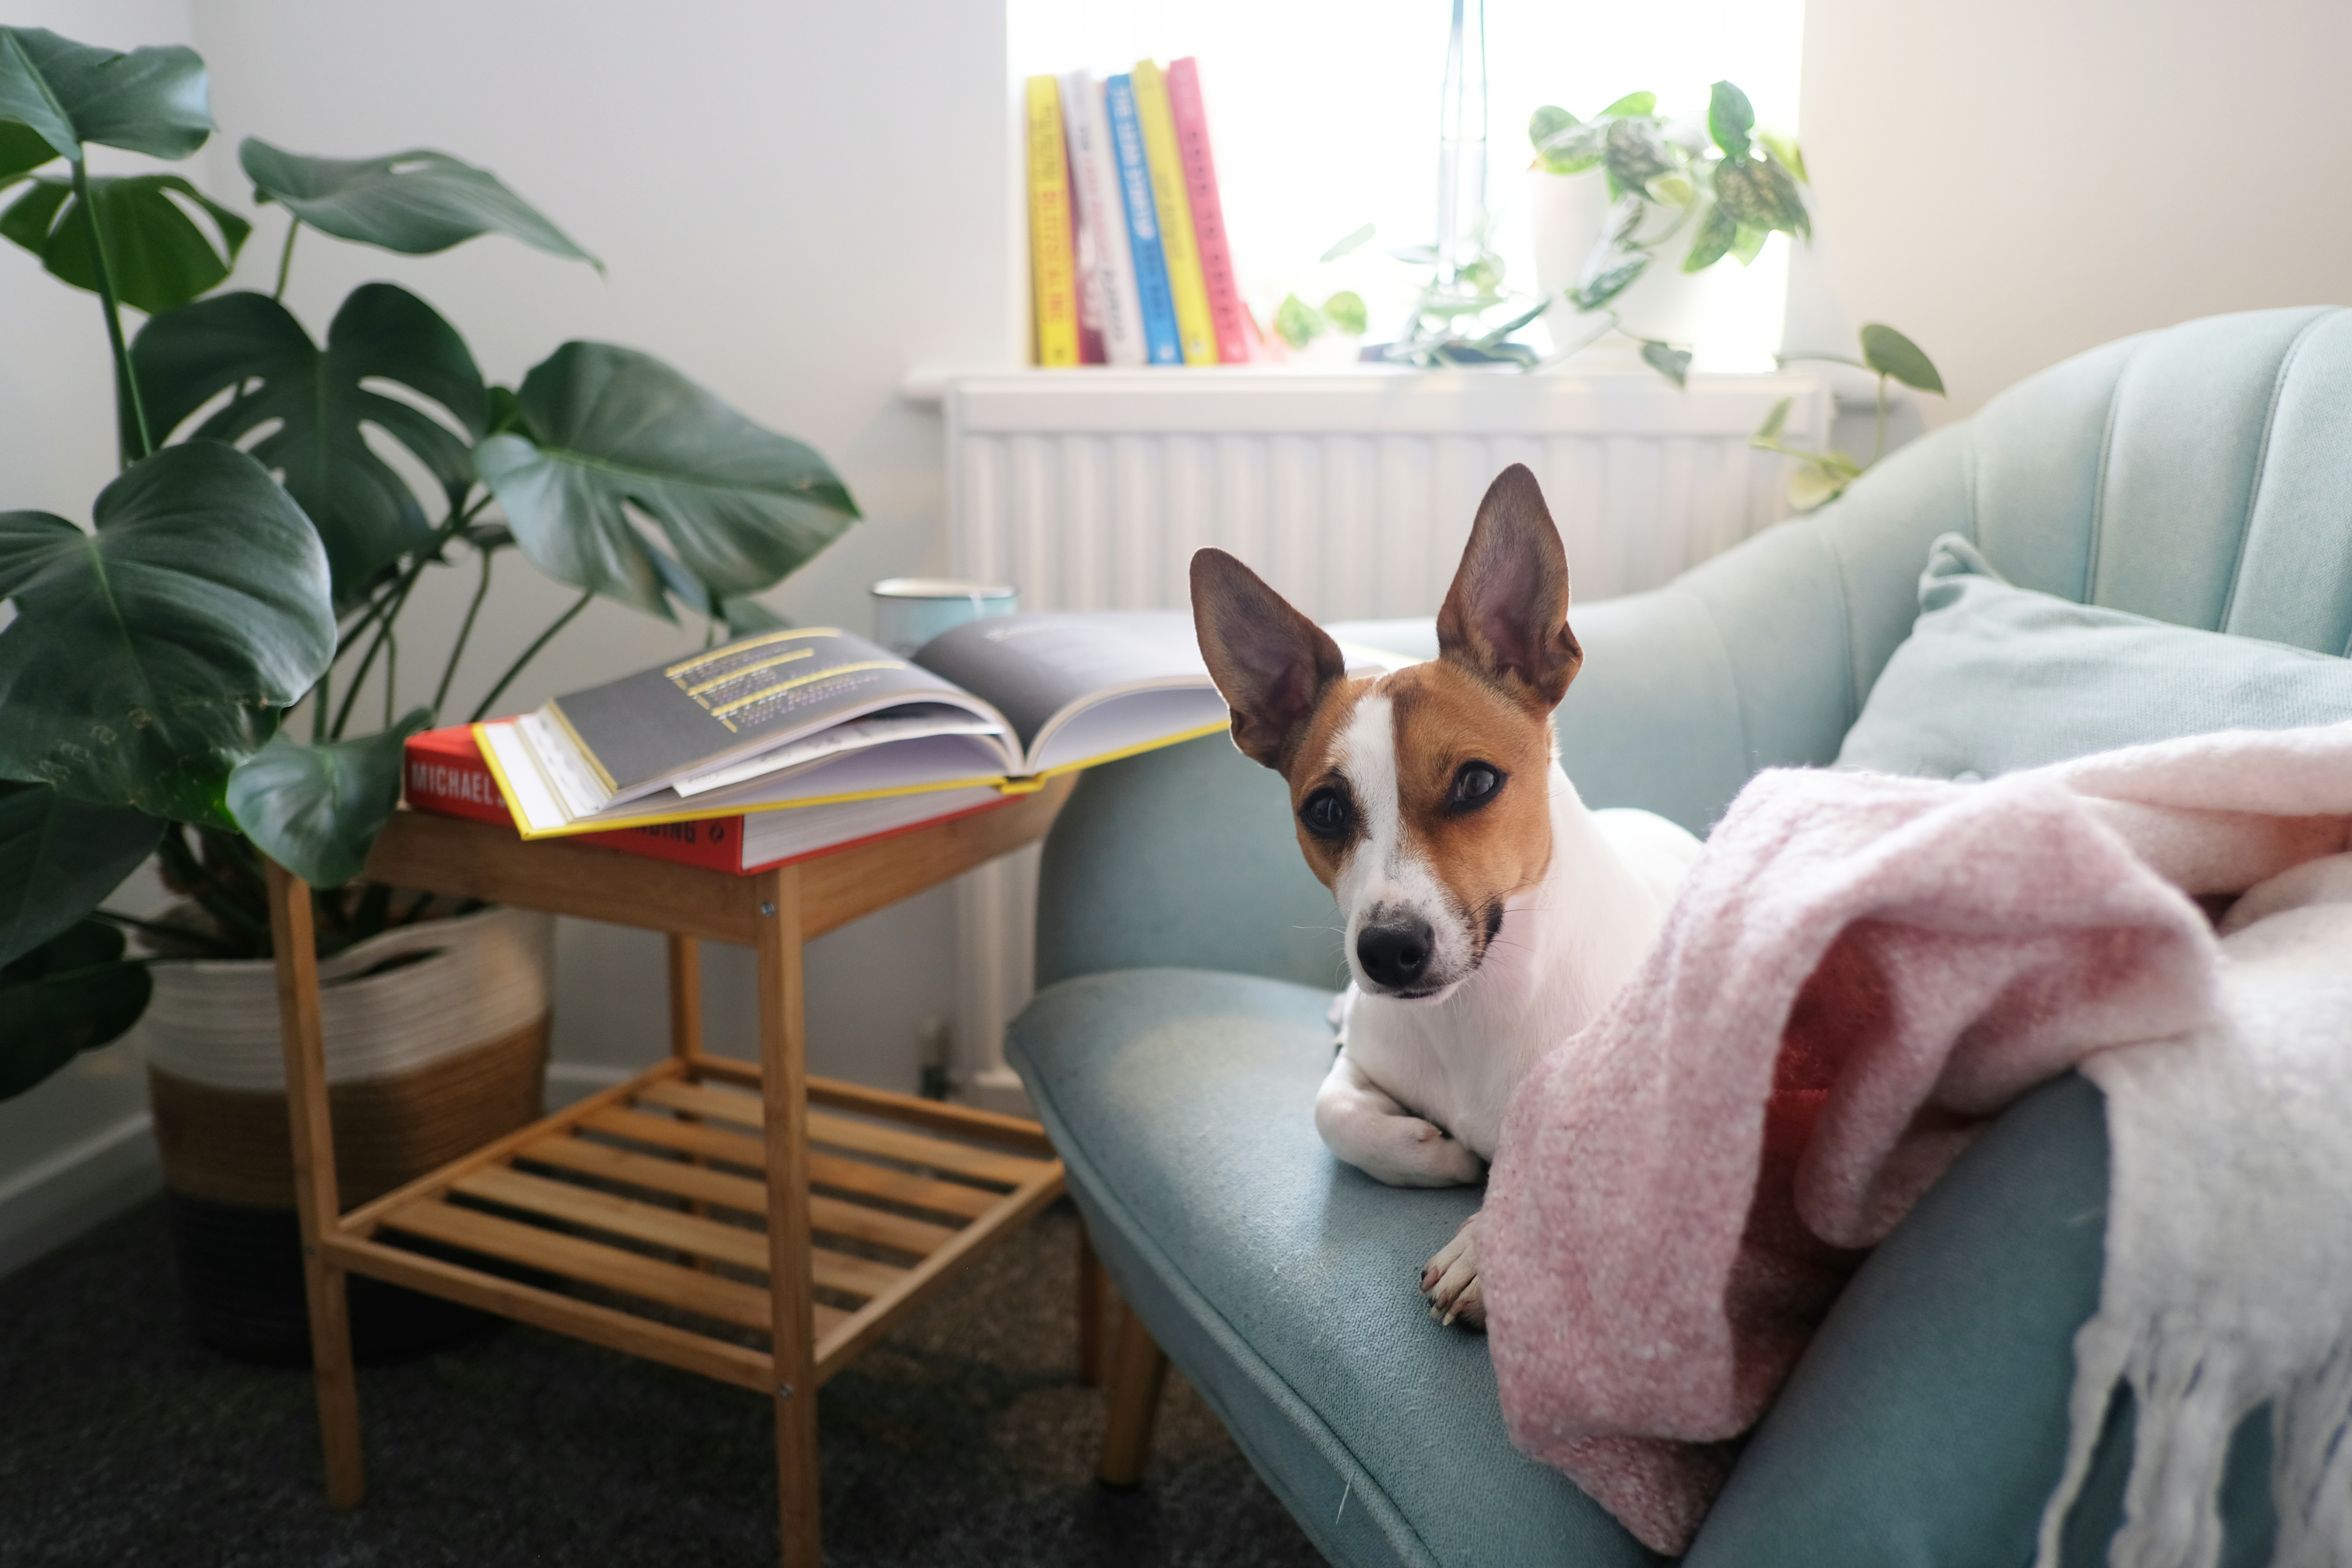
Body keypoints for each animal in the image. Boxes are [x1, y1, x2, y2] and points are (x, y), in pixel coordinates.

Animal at [1195, 463, 1693, 1326]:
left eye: (1476, 782)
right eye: (1325, 809)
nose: (1389, 950)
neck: (1477, 1010)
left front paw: (1485, 1251)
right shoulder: (1365, 1063)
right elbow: (1332, 1113)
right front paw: (1439, 1152)